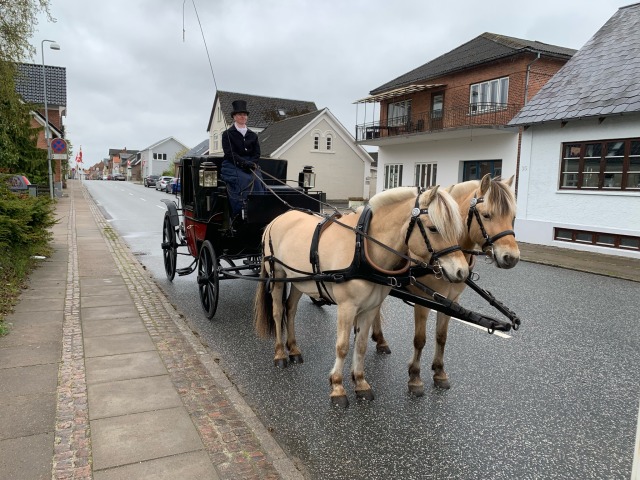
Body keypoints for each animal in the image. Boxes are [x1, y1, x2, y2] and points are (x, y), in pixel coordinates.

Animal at [255, 186, 470, 406]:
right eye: (433, 228)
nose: (462, 272)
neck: (363, 247)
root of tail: (277, 219)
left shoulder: (370, 307)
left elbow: (361, 345)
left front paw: (360, 382)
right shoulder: (347, 307)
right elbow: (342, 346)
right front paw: (337, 386)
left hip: (300, 280)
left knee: (290, 310)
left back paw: (294, 349)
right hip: (278, 276)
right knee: (278, 312)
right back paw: (280, 353)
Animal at [370, 174, 520, 396]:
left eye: (513, 217)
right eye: (487, 215)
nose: (512, 257)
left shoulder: (451, 300)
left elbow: (441, 336)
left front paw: (439, 372)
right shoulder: (425, 301)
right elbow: (420, 339)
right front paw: (415, 377)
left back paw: (379, 339)